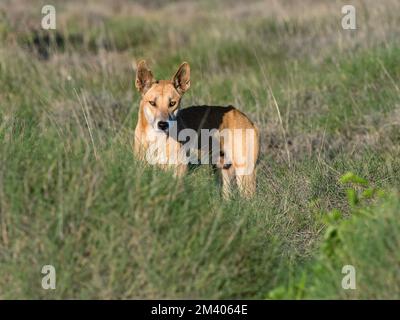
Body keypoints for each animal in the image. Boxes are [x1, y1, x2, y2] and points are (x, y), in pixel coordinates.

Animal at [134, 60, 260, 198]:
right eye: (152, 103)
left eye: (172, 103)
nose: (162, 124)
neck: (157, 140)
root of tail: (244, 117)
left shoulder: (177, 174)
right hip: (223, 172)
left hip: (244, 175)